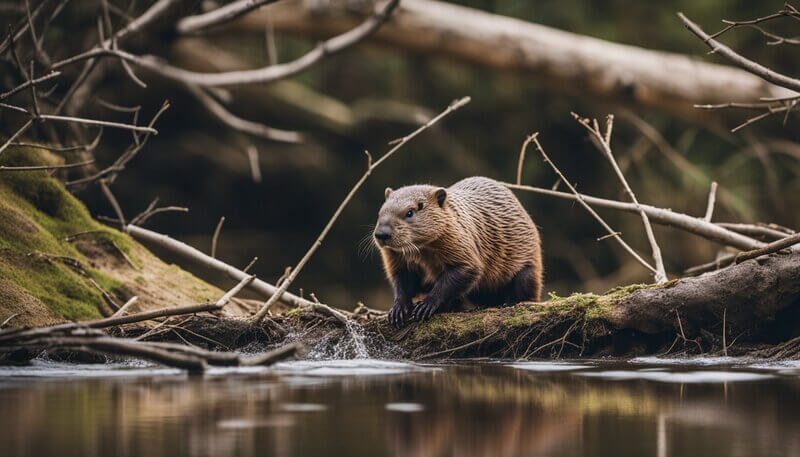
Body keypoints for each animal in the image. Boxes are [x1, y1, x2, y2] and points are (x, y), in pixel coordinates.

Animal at [376, 175, 544, 328]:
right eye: (381, 211)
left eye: (410, 212)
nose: (381, 234)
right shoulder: (398, 259)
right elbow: (401, 279)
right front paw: (397, 310)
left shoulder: (460, 242)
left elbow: (465, 271)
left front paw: (426, 306)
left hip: (528, 271)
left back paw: (508, 303)